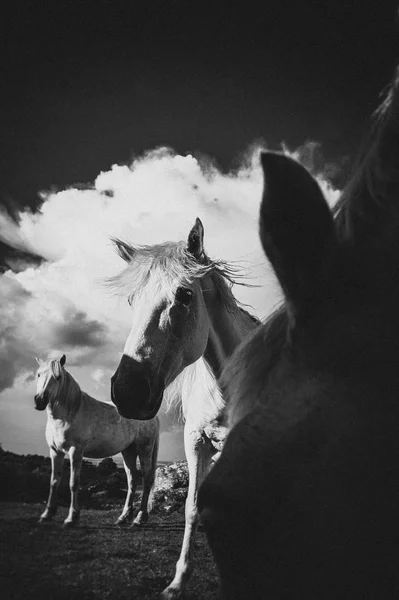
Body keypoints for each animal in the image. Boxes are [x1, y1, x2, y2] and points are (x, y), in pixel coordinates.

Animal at [34, 354, 159, 528]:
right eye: (39, 374)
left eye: (57, 377)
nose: (39, 400)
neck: (69, 413)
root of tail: (152, 416)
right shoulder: (55, 452)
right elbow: (54, 481)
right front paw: (47, 514)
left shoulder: (75, 452)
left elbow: (73, 483)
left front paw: (72, 518)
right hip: (128, 452)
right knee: (132, 481)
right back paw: (123, 517)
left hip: (144, 450)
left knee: (146, 479)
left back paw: (139, 518)